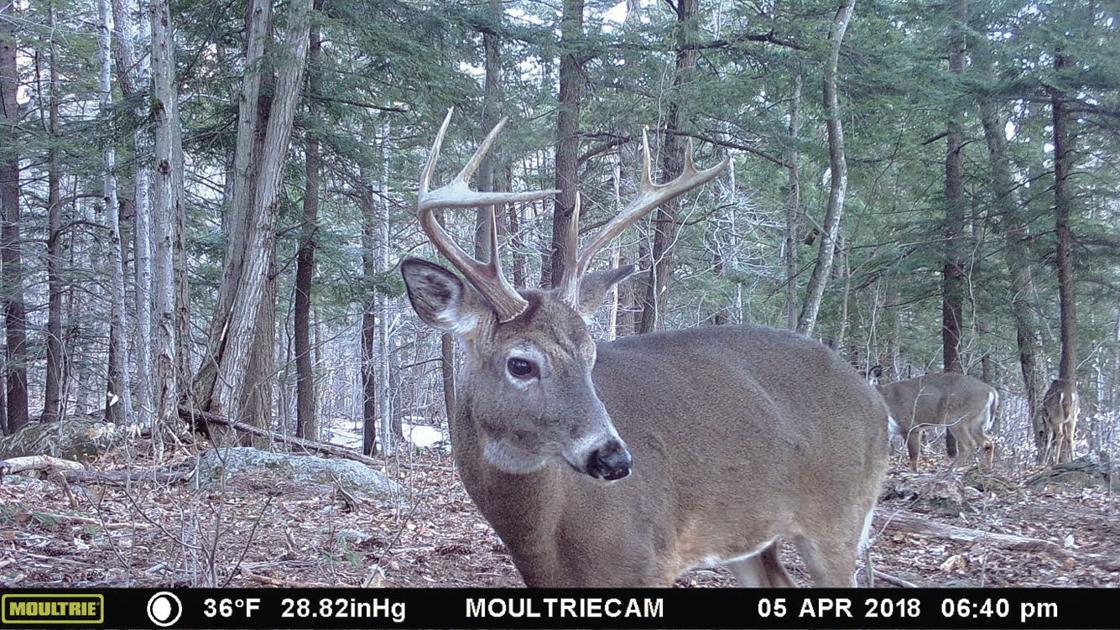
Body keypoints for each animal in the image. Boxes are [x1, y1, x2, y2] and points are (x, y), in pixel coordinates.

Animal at [398, 110, 890, 587]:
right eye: (521, 364)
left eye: (591, 356)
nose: (614, 458)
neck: (545, 537)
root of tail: (877, 401)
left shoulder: (646, 563)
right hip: (750, 536)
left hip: (839, 519)